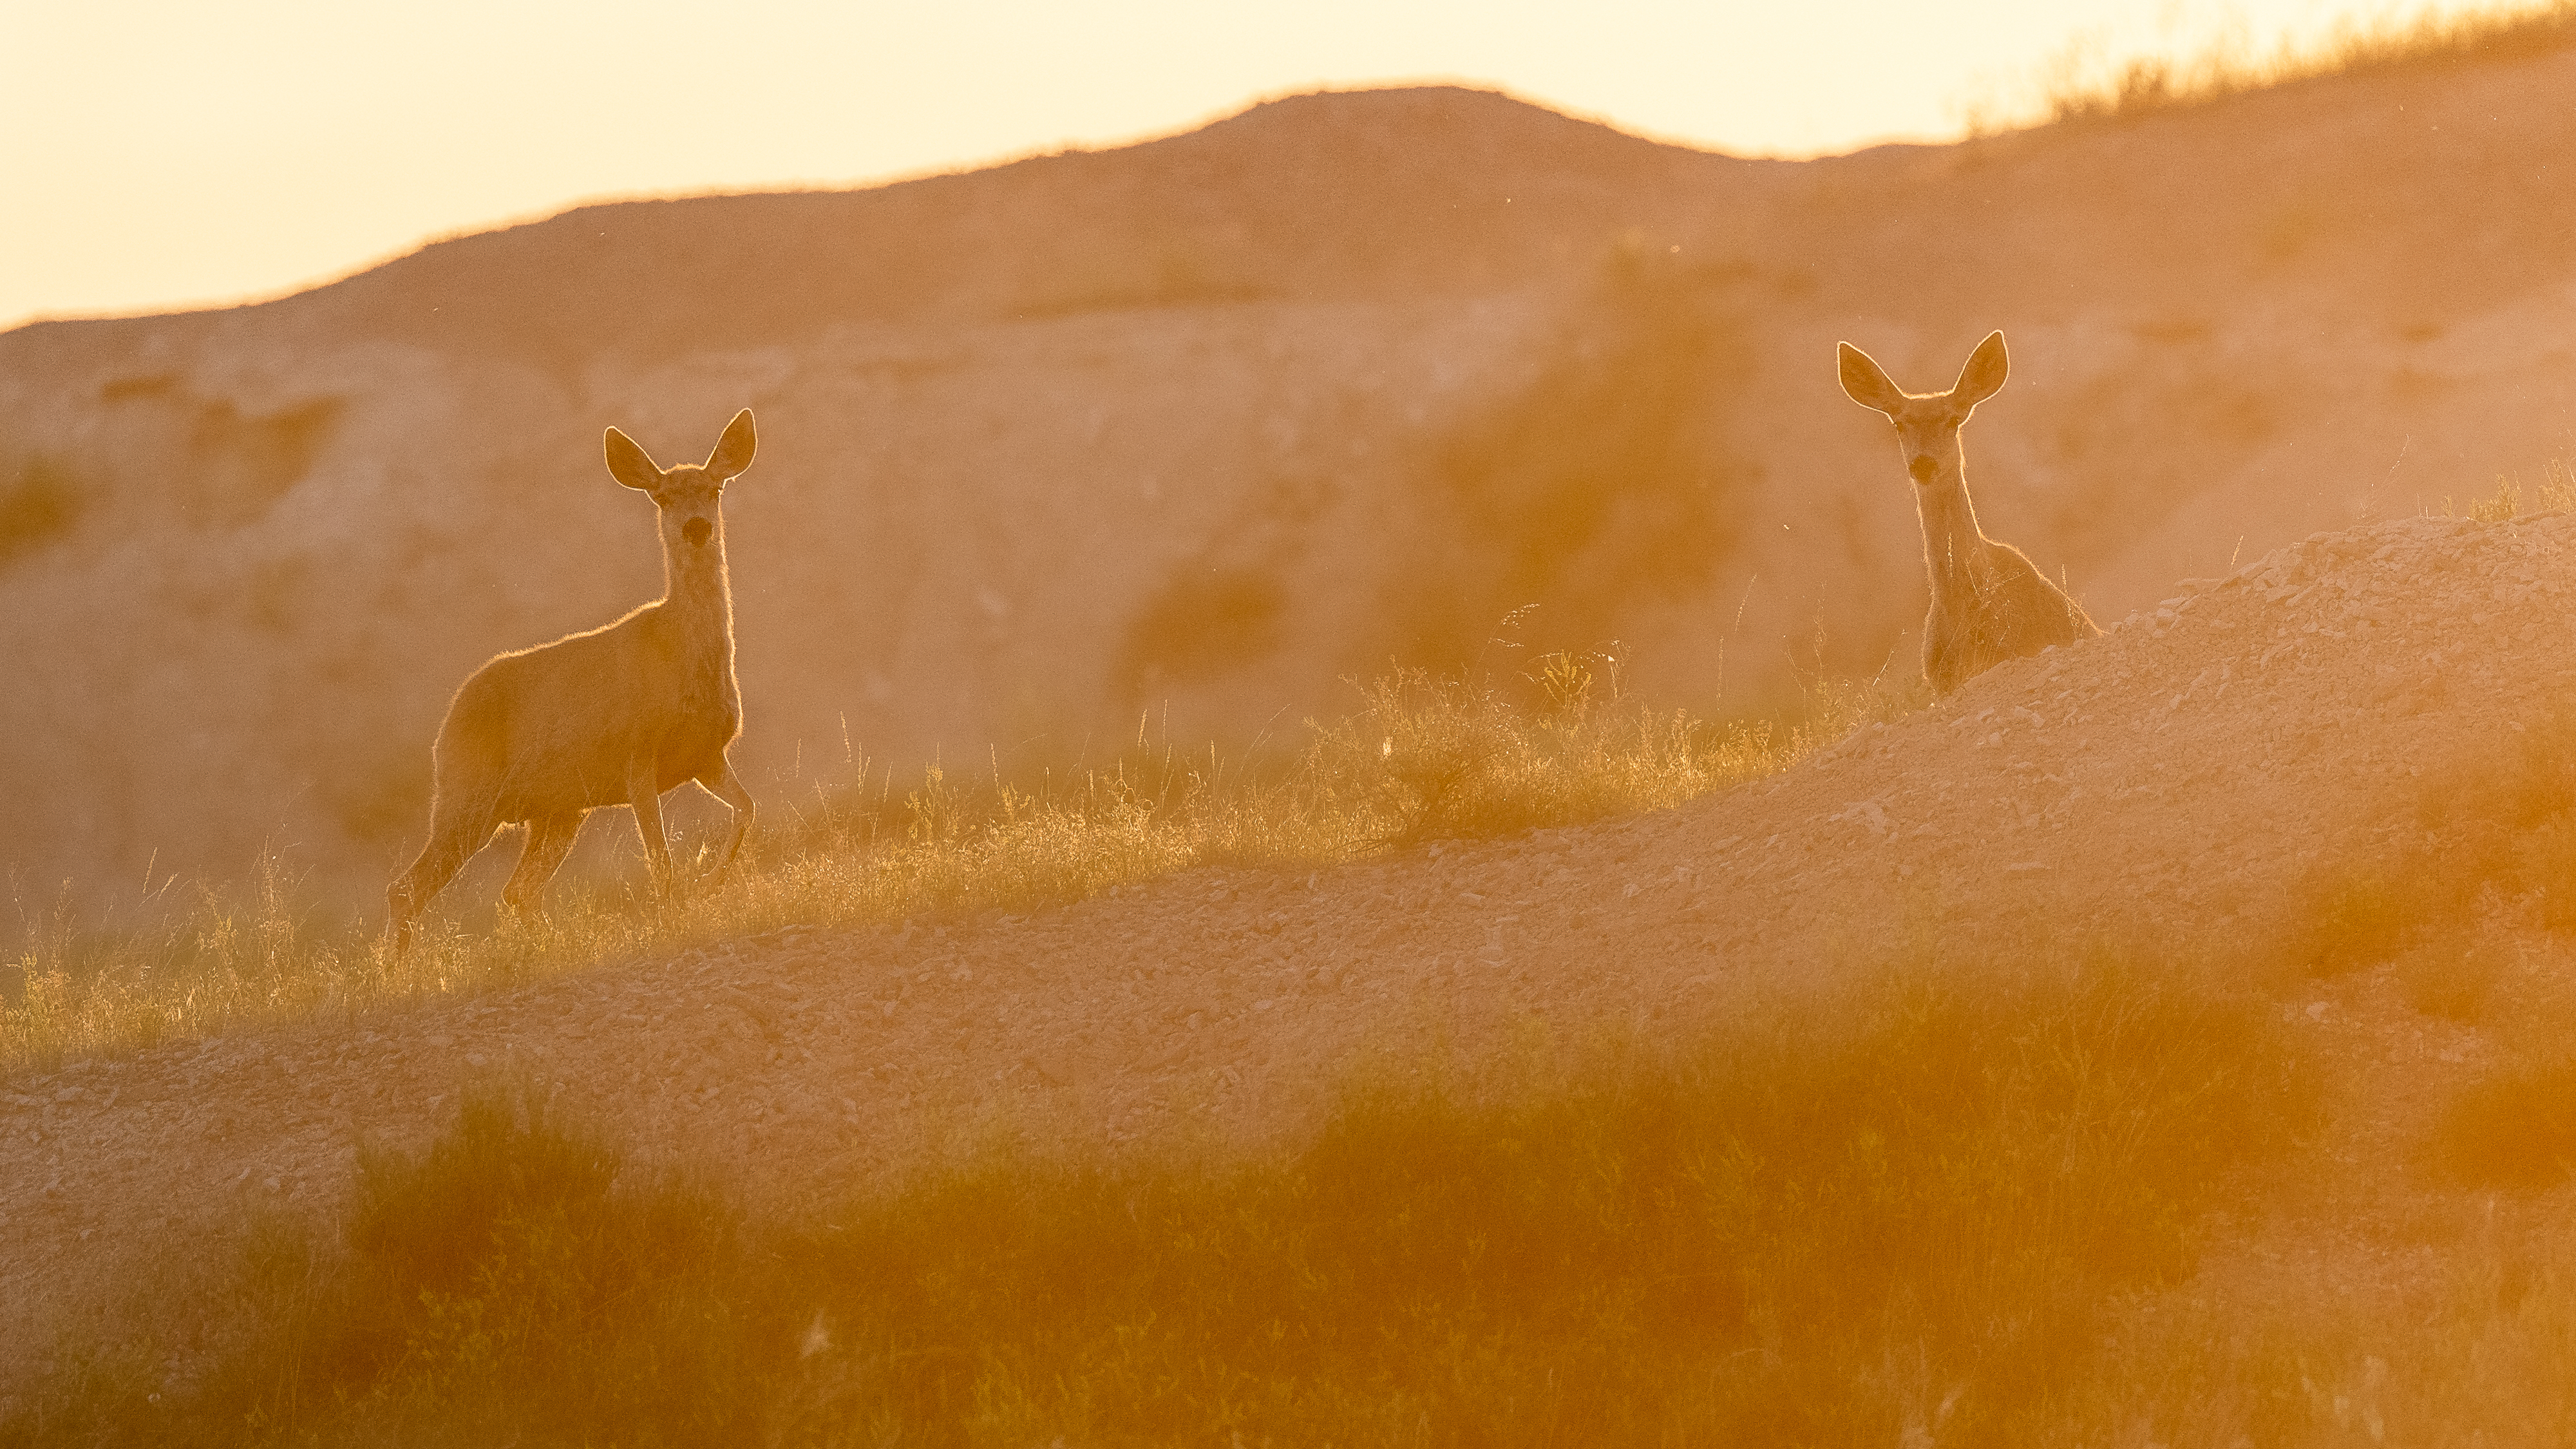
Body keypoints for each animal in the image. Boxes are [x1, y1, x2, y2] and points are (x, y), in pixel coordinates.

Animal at [386, 410, 757, 949]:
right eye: (663, 496)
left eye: (714, 488)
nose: (695, 527)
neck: (684, 657)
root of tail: (447, 721)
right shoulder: (636, 753)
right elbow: (661, 861)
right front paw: (676, 911)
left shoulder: (705, 755)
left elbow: (747, 810)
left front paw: (709, 882)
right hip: (468, 795)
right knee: (407, 888)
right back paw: (402, 966)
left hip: (556, 810)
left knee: (517, 890)